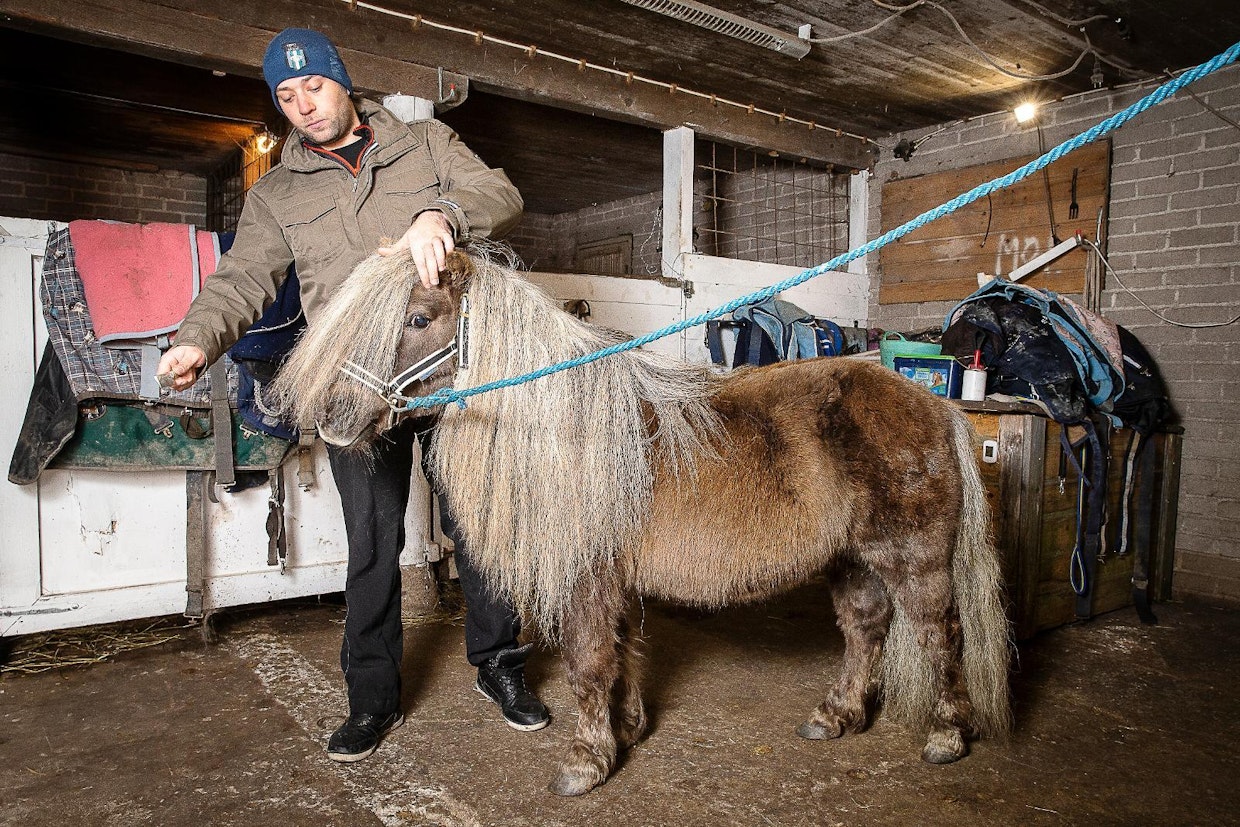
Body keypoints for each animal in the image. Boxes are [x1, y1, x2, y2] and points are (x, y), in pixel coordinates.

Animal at [269, 247, 1012, 797]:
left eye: (420, 316)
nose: (333, 418)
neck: (566, 430)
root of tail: (933, 404)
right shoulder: (615, 581)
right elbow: (622, 655)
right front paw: (625, 730)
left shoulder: (587, 581)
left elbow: (590, 665)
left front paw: (587, 759)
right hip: (854, 561)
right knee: (865, 631)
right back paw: (837, 714)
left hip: (914, 559)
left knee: (941, 634)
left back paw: (947, 733)